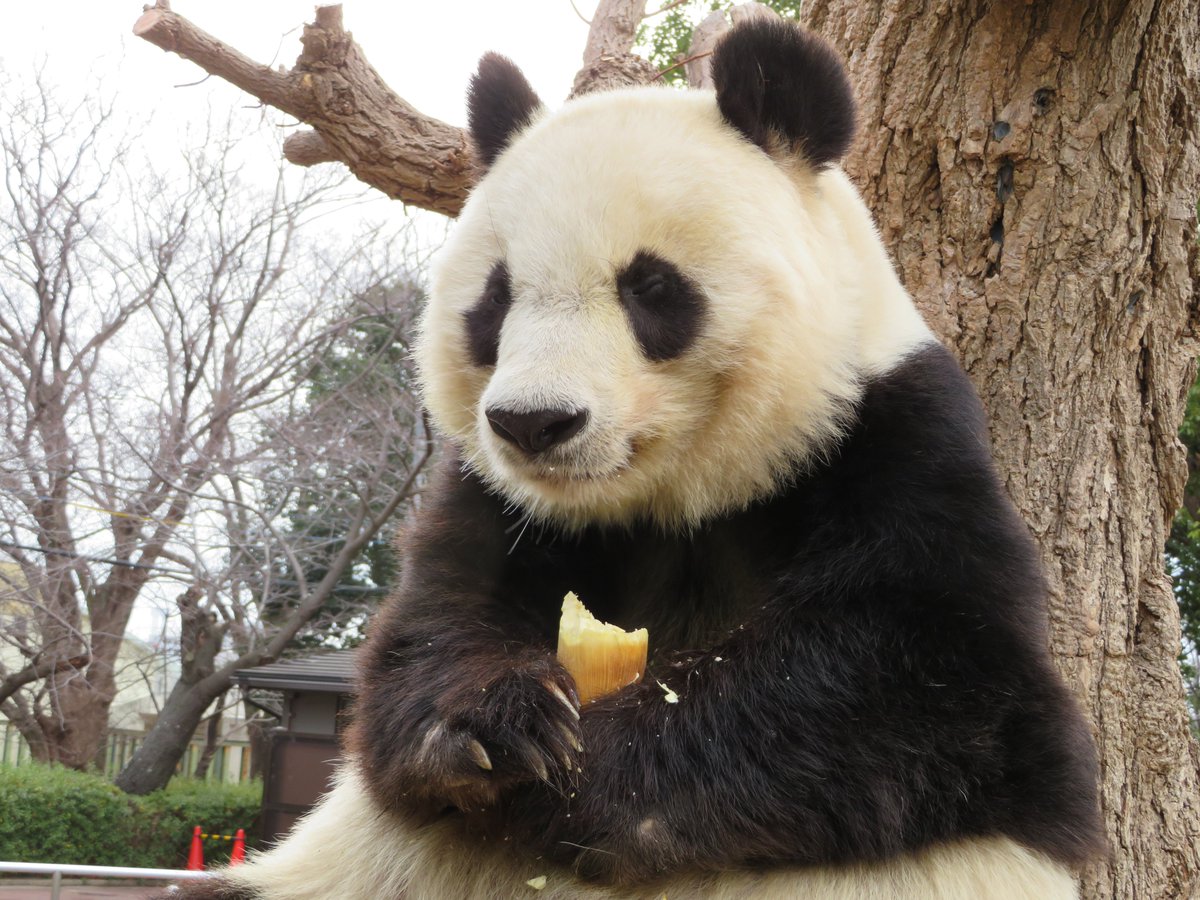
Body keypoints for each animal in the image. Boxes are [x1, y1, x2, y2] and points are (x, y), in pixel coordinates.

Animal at [171, 15, 1104, 900]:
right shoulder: (491, 495)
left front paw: (591, 777)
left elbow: (930, 679)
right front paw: (499, 725)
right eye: (495, 300)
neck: (674, 498)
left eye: (651, 288)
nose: (534, 423)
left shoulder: (892, 436)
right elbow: (427, 630)